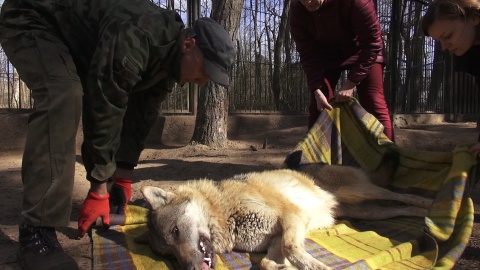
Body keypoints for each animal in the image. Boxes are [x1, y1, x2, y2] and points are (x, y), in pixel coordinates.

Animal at [140, 150, 436, 270]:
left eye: (176, 231)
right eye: (168, 254)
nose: (190, 268)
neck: (225, 213)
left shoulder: (292, 217)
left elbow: (294, 250)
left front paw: (316, 266)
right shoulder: (276, 237)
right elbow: (267, 262)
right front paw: (282, 267)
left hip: (361, 193)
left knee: (404, 195)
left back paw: (431, 206)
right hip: (368, 212)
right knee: (401, 207)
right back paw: (426, 218)